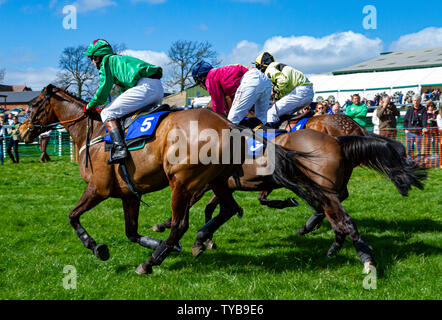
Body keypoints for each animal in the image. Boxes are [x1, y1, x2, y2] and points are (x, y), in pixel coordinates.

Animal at [19, 84, 338, 274]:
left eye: (33, 105)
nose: (21, 131)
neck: (95, 132)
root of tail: (228, 124)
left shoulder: (98, 188)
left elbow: (73, 216)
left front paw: (96, 246)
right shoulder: (128, 193)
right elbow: (131, 232)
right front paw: (154, 243)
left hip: (182, 182)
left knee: (181, 223)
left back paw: (151, 262)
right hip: (216, 180)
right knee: (228, 209)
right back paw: (191, 242)